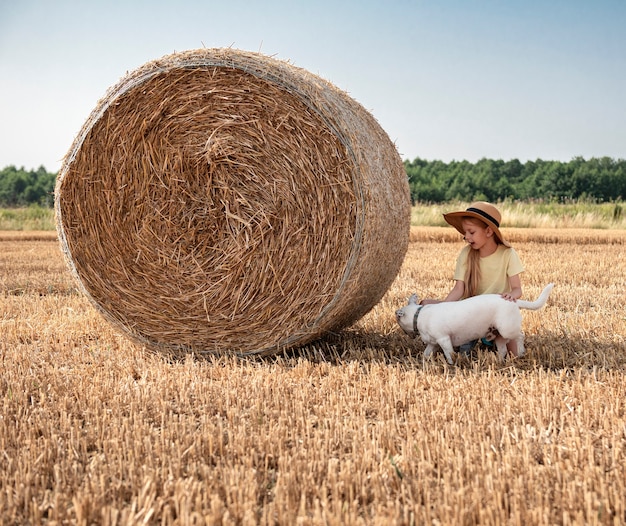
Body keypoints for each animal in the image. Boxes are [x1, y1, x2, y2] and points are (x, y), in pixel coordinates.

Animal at [398, 284, 552, 368]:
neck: (418, 315)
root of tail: (514, 301)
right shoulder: (433, 343)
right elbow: (426, 354)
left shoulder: (444, 340)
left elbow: (449, 354)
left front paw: (452, 364)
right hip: (499, 335)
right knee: (502, 350)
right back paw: (498, 362)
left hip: (507, 330)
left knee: (521, 336)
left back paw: (520, 351)